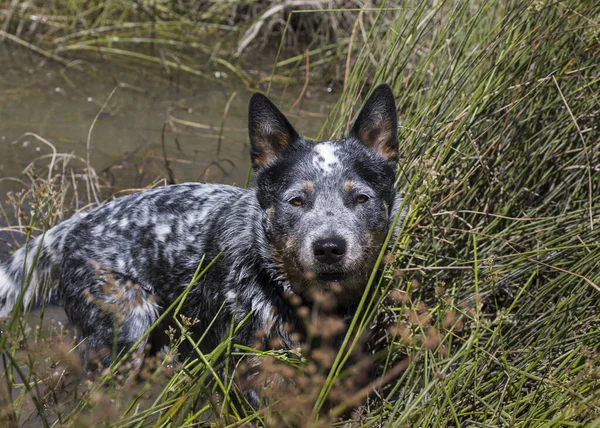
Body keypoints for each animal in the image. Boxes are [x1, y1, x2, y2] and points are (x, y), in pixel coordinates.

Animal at [0, 83, 408, 404]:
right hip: (130, 330)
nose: (329, 247)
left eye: (361, 198)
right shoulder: (253, 377)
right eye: (296, 201)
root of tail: (76, 226)